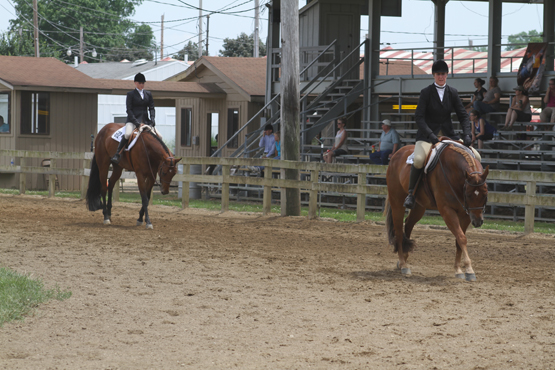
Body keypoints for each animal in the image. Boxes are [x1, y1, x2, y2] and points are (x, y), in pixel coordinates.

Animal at [384, 142, 488, 280]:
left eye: (485, 194)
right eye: (469, 195)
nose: (477, 222)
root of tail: (397, 153)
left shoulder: (466, 214)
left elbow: (459, 240)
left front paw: (458, 269)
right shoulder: (446, 210)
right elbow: (461, 238)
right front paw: (469, 270)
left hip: (419, 207)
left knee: (408, 225)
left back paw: (404, 259)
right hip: (397, 202)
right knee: (399, 231)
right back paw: (403, 264)